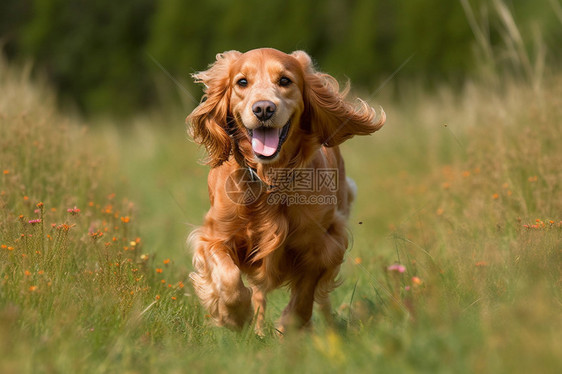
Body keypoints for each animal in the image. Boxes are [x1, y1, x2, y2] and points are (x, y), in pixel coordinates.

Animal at [186, 47, 382, 334]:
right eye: (242, 82)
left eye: (285, 81)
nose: (263, 109)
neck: (268, 178)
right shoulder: (214, 236)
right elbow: (230, 279)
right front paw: (233, 316)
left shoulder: (325, 242)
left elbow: (305, 294)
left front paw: (290, 327)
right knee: (258, 293)